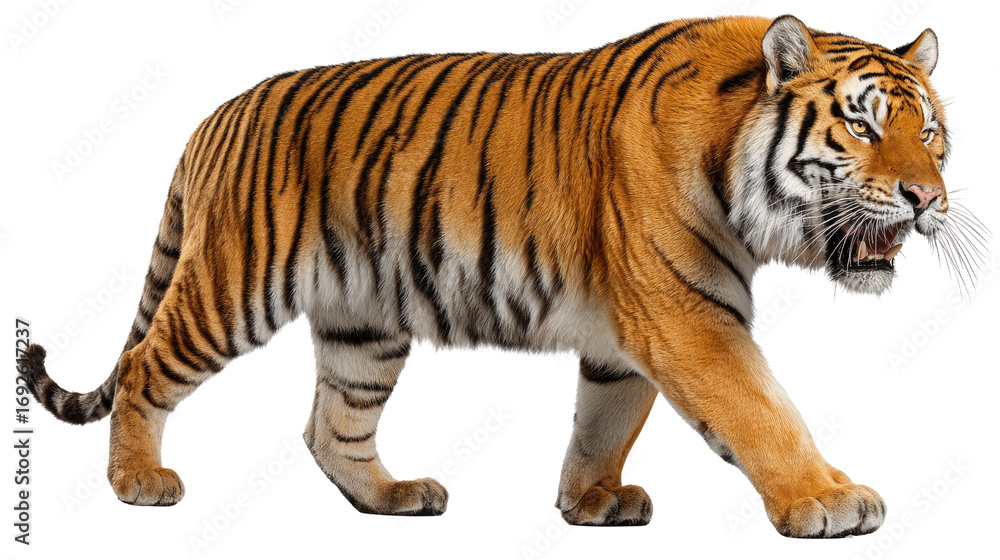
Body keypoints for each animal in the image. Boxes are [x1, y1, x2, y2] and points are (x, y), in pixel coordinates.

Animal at [21, 14, 964, 538]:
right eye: (865, 127)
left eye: (931, 133)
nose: (927, 197)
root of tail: (214, 117)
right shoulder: (688, 316)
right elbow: (765, 413)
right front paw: (830, 499)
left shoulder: (629, 333)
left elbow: (604, 421)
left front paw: (590, 503)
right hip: (232, 285)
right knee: (145, 367)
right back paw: (139, 483)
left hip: (363, 324)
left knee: (332, 427)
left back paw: (392, 496)